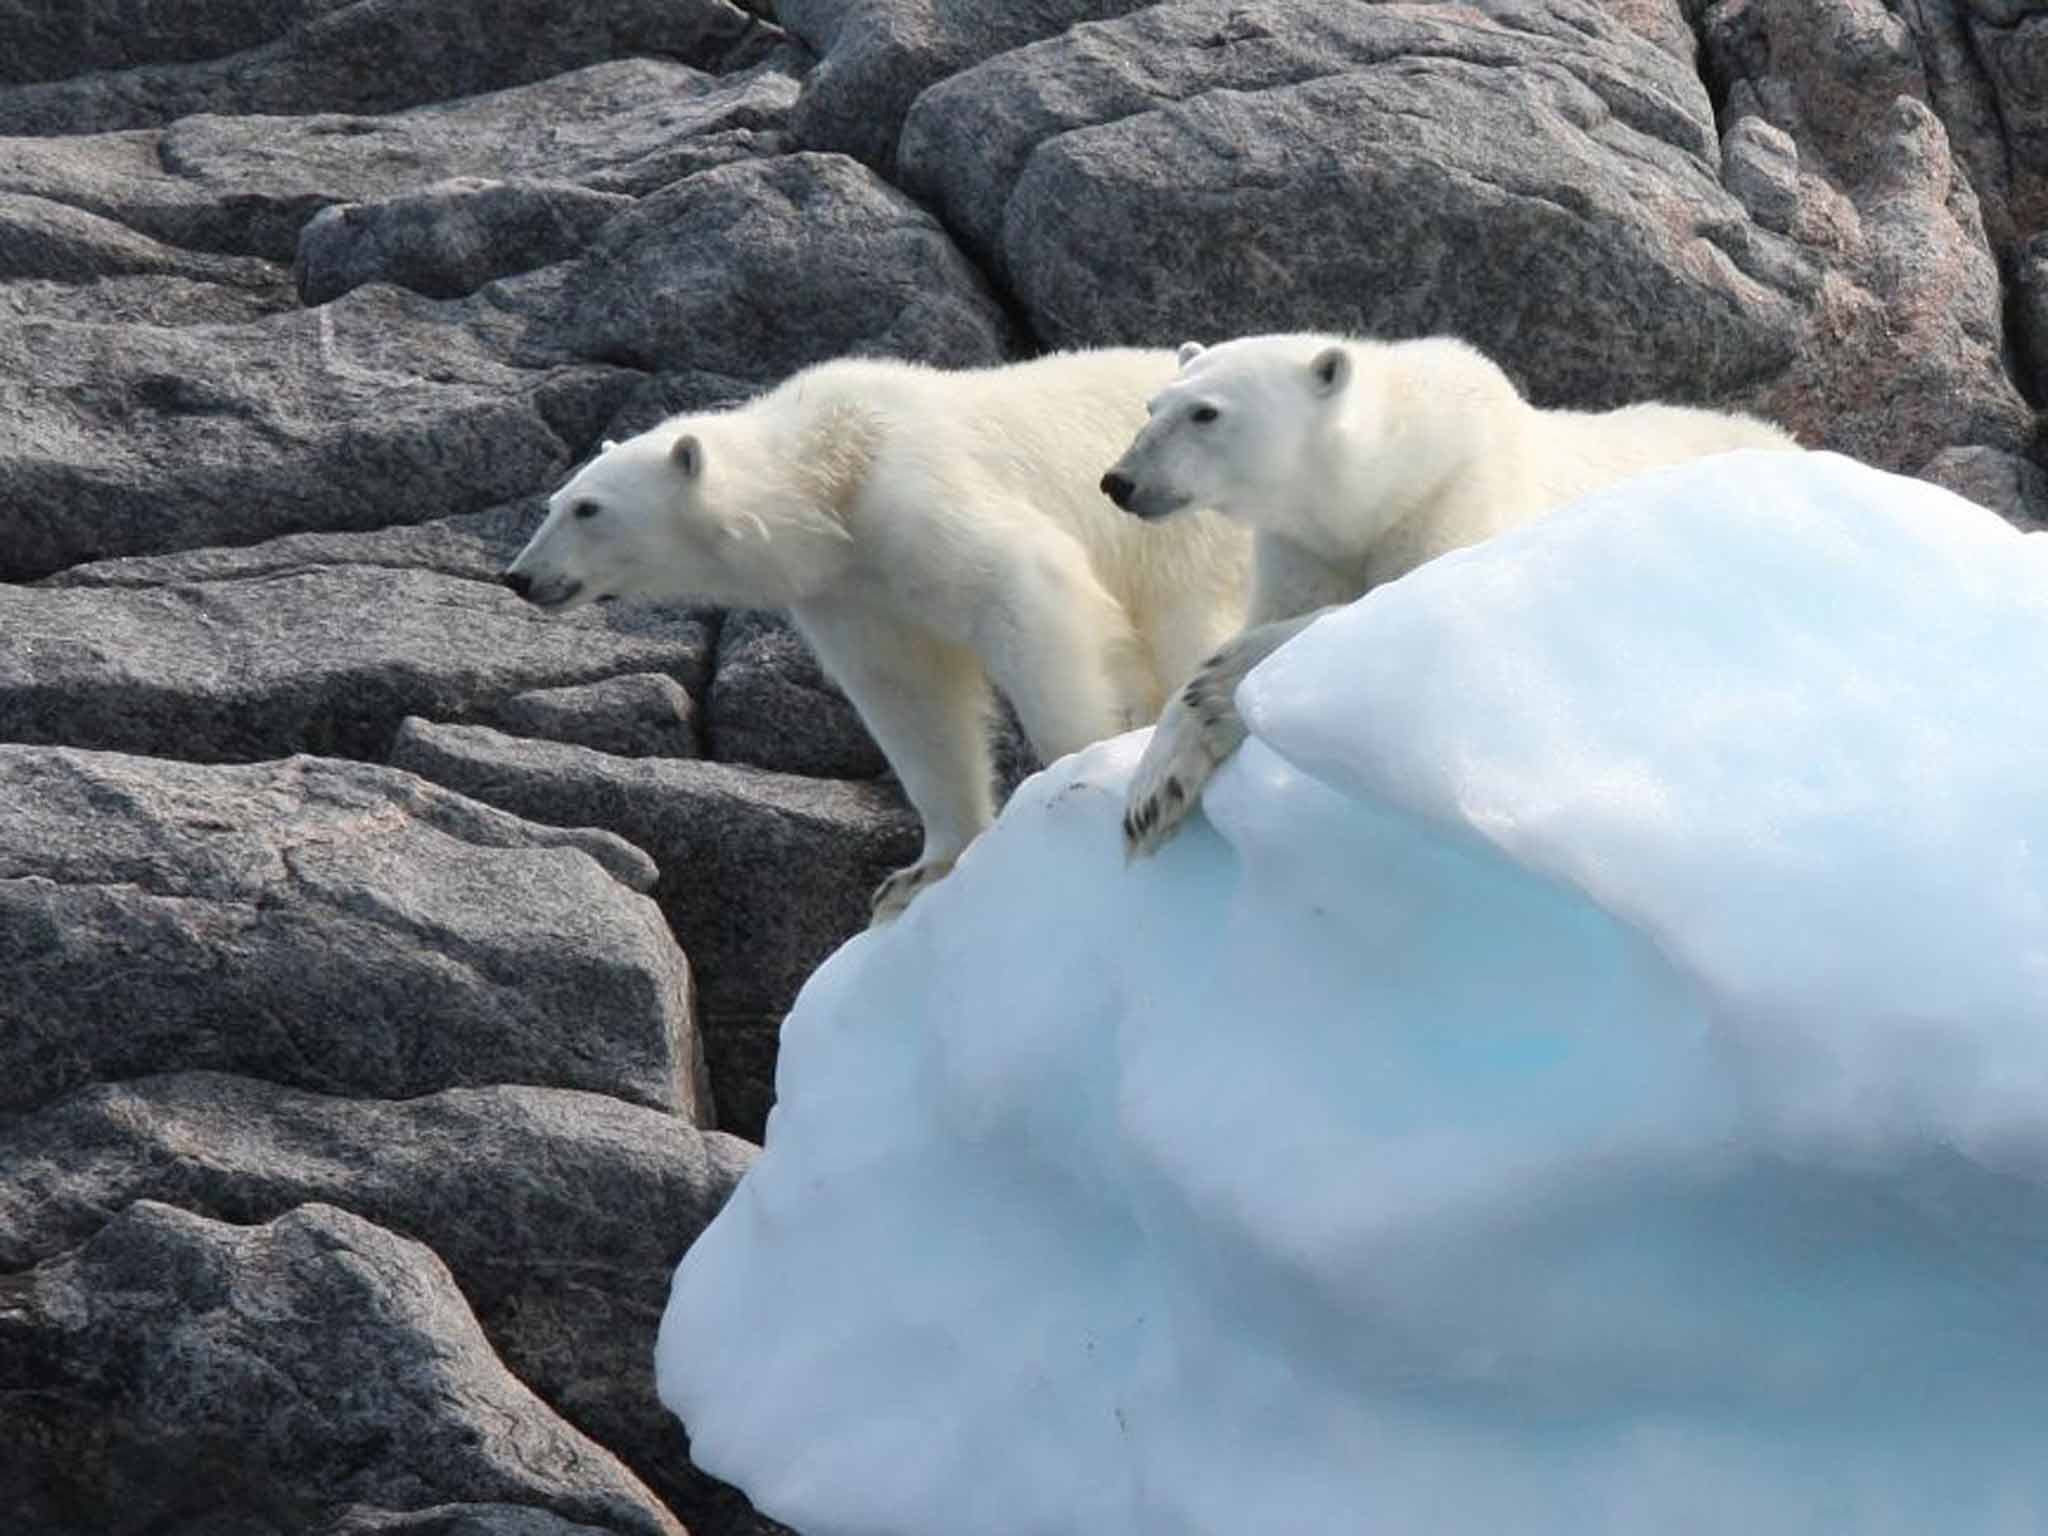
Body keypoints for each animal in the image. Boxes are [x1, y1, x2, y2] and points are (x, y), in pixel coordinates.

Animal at [503, 348, 1253, 921]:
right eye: (553, 502)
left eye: (588, 507)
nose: (520, 576)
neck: (834, 470)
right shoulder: (852, 590)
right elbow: (909, 699)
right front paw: (919, 874)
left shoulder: (918, 497)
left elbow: (1029, 598)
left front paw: (1073, 770)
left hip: (1193, 532)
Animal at [1105, 335, 1794, 860]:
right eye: (1150, 405)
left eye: (1206, 413)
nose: (1119, 480)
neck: (1390, 472)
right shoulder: (1302, 550)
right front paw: (1151, 793)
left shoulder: (1459, 492)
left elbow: (1397, 599)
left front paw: (1219, 679)